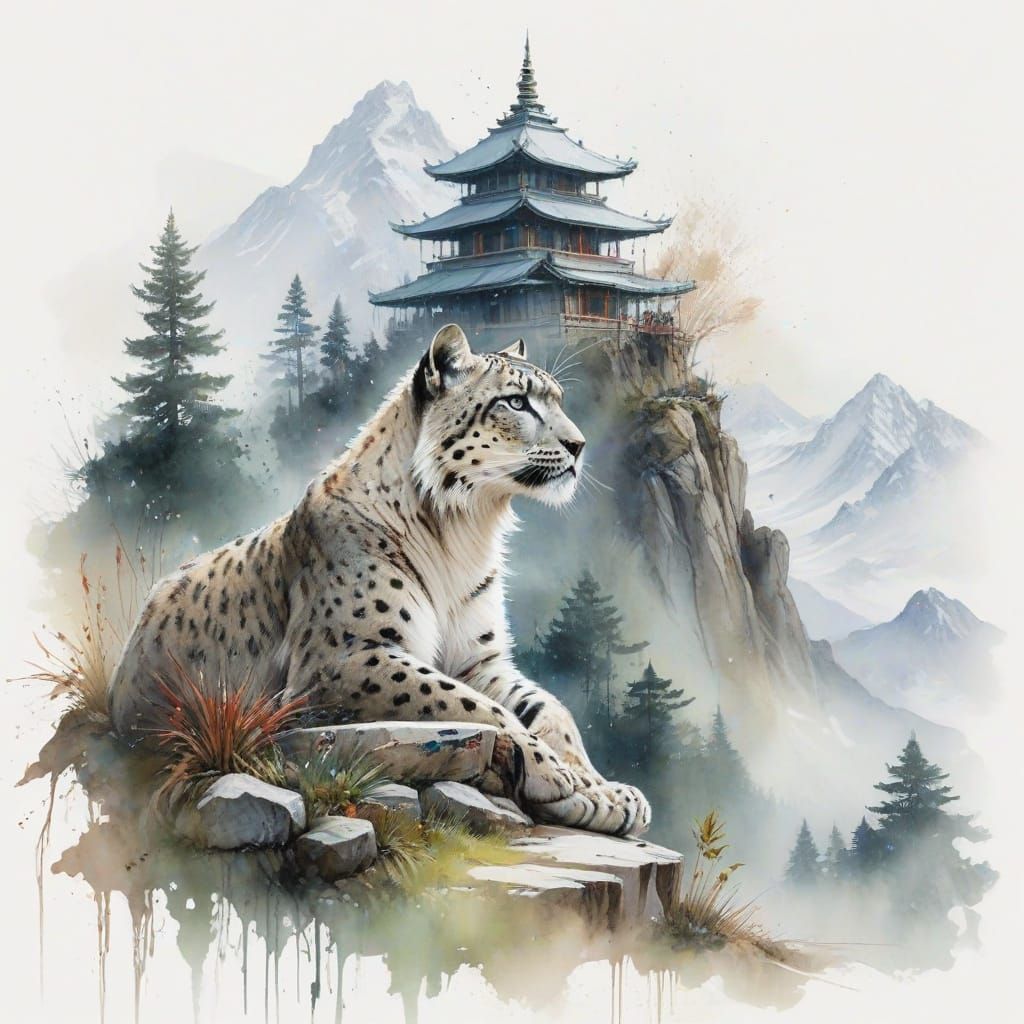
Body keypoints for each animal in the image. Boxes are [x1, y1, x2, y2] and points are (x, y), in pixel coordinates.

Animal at [108, 324, 651, 836]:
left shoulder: (478, 658)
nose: (579, 445)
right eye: (516, 401)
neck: (465, 531)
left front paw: (604, 790)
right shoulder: (344, 657)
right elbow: (468, 705)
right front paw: (558, 774)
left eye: (557, 399)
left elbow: (547, 707)